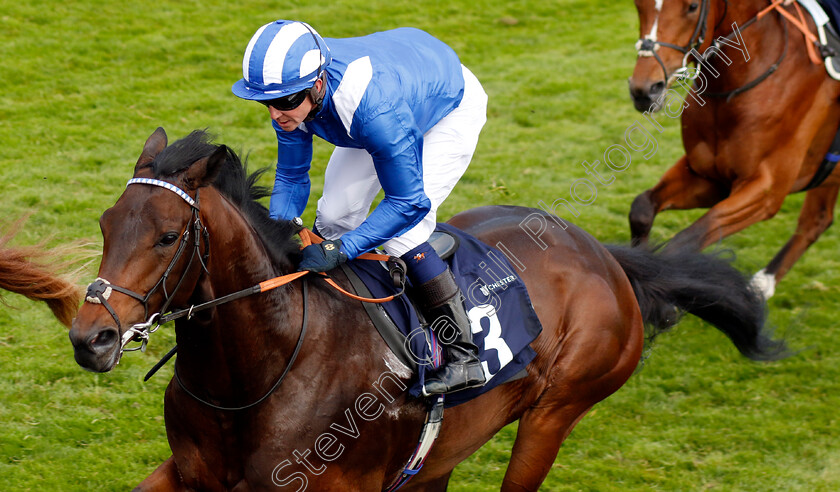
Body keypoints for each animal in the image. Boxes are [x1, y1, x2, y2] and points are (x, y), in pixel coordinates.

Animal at [69, 129, 784, 490]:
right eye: (104, 224)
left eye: (167, 236)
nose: (91, 337)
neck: (254, 379)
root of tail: (602, 255)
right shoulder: (189, 477)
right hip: (442, 451)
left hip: (556, 411)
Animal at [628, 0, 840, 298]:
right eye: (639, 5)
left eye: (692, 6)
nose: (645, 90)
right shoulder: (709, 176)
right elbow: (642, 208)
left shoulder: (765, 191)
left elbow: (686, 241)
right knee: (817, 221)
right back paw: (761, 286)